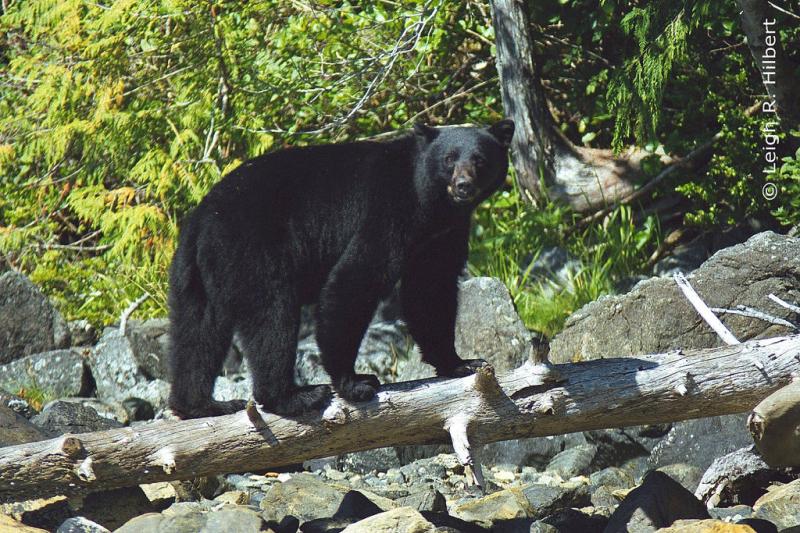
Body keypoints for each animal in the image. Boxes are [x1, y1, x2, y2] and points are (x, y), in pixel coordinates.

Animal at [170, 118, 516, 418]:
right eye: (449, 158)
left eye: (480, 159)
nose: (463, 185)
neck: (429, 201)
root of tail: (202, 216)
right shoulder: (388, 210)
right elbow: (356, 278)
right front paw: (354, 383)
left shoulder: (442, 232)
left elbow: (431, 287)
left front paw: (461, 363)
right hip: (252, 249)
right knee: (270, 317)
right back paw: (294, 396)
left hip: (198, 273)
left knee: (198, 331)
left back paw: (201, 404)